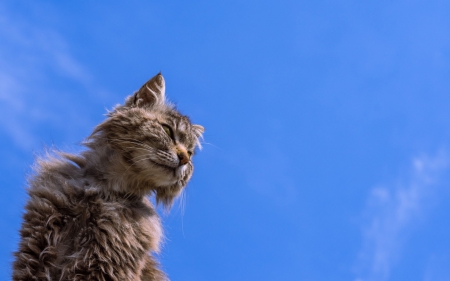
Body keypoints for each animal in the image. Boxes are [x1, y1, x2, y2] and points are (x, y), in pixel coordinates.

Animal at [11, 73, 206, 278]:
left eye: (190, 153)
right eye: (168, 130)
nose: (184, 158)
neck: (104, 190)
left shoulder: (101, 266)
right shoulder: (35, 253)